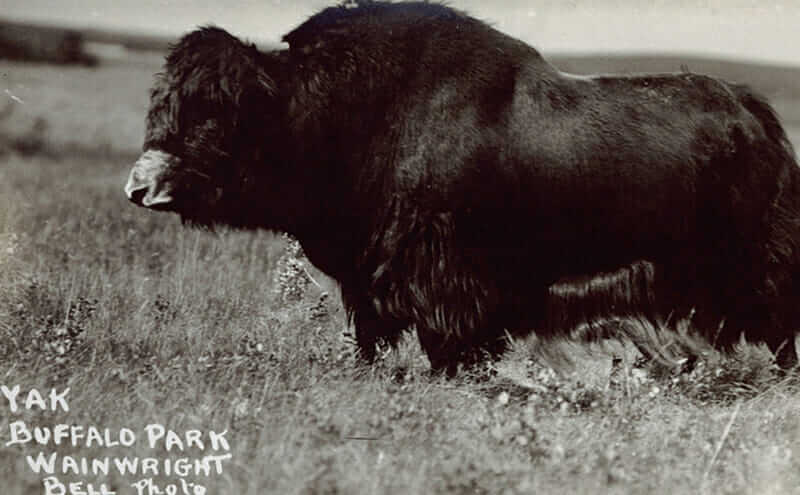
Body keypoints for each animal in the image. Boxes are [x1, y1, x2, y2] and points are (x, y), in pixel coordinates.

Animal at [125, 1, 800, 374]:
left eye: (213, 112)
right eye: (161, 103)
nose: (139, 187)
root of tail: (754, 116)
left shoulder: (447, 277)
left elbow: (450, 337)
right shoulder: (369, 281)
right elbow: (371, 334)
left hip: (756, 266)